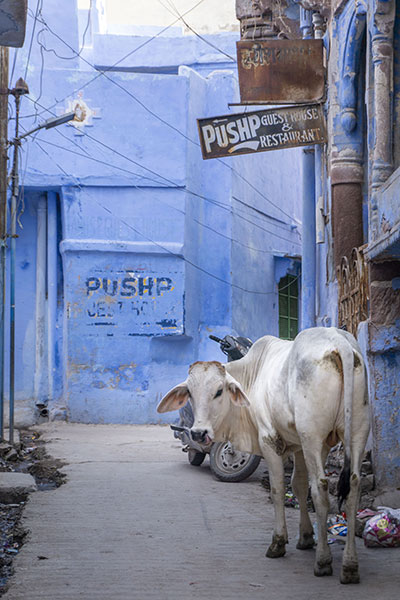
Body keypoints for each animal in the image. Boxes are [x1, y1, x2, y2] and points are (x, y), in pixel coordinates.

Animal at [158, 326, 370, 584]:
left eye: (219, 391)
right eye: (189, 392)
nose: (199, 433)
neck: (253, 374)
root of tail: (340, 343)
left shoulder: (270, 439)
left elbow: (278, 489)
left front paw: (278, 542)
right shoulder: (298, 445)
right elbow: (298, 486)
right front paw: (305, 537)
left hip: (313, 435)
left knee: (320, 488)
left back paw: (323, 561)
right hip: (356, 432)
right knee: (353, 488)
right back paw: (350, 565)